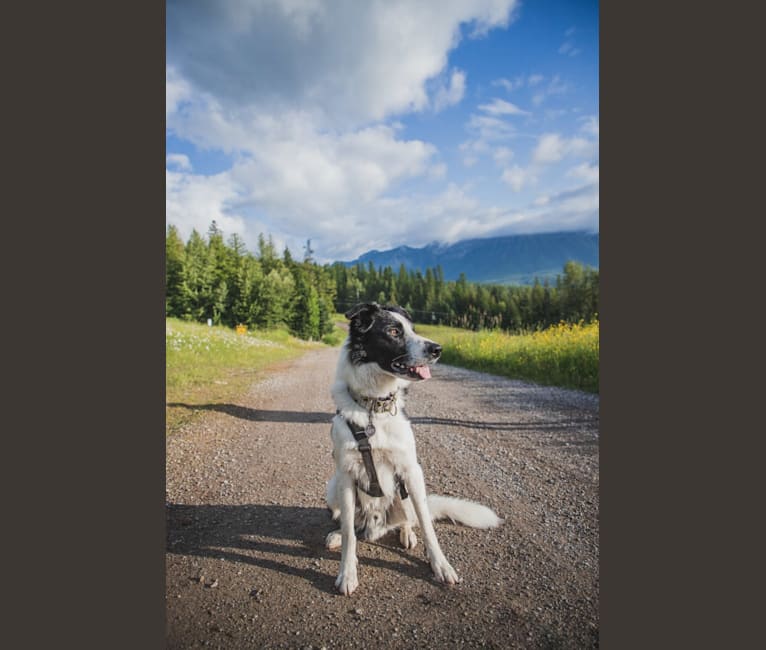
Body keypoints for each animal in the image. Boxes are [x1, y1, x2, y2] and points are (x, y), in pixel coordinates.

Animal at [324, 302, 504, 596]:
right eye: (394, 331)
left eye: (414, 329)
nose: (437, 349)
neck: (374, 409)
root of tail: (376, 525)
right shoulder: (347, 474)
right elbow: (350, 534)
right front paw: (347, 573)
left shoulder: (411, 470)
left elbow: (429, 529)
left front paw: (441, 566)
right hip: (333, 487)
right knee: (351, 523)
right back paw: (337, 534)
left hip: (406, 494)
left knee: (410, 519)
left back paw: (406, 533)